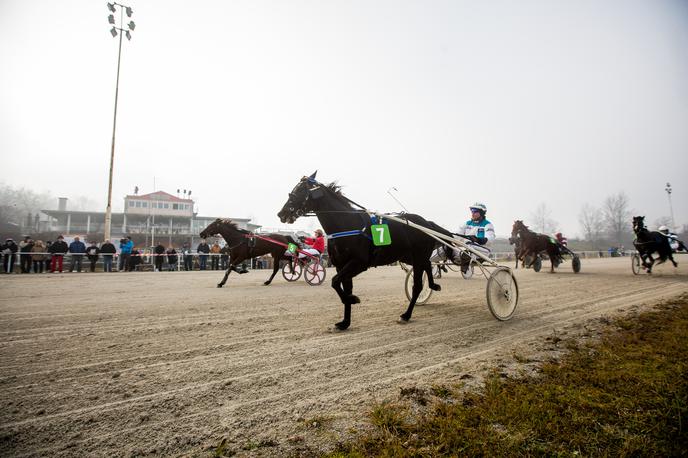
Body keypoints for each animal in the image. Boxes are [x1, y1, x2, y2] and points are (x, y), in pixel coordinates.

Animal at [276, 172, 454, 330]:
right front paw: (345, 322)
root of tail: (427, 223)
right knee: (428, 264)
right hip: (408, 256)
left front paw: (353, 299)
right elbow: (341, 286)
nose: (281, 213)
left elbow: (335, 282)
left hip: (417, 257)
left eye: (299, 191)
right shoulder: (341, 265)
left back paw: (406, 315)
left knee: (417, 285)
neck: (347, 224)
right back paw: (433, 284)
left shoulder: (359, 263)